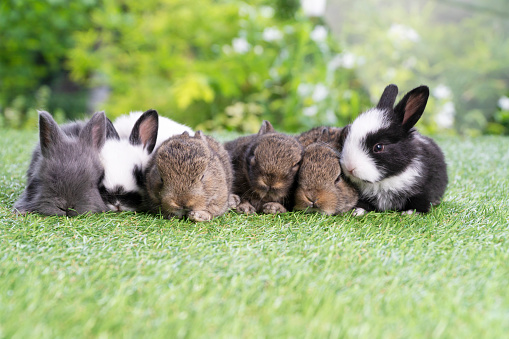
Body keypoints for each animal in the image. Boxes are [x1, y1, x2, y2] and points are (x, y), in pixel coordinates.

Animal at [340, 84, 446, 215]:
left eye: (379, 147)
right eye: (347, 134)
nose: (349, 167)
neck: (386, 180)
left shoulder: (423, 191)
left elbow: (419, 203)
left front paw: (410, 213)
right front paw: (357, 211)